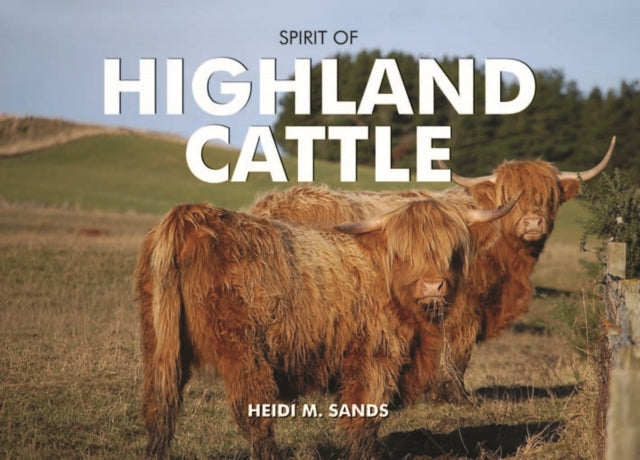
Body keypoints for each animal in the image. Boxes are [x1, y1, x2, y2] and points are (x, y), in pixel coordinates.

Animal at [135, 195, 515, 460]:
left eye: (453, 250)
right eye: (404, 252)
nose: (433, 286)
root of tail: (191, 216)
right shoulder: (375, 357)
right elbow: (364, 417)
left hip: (159, 342)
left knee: (160, 404)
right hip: (244, 353)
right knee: (253, 414)